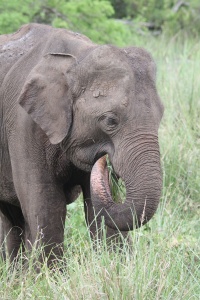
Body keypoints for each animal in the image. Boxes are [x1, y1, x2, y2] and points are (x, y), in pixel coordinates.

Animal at [0, 22, 164, 262]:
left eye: (161, 116)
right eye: (110, 120)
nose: (105, 160)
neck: (77, 57)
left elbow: (97, 210)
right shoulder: (25, 125)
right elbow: (46, 202)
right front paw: (50, 272)